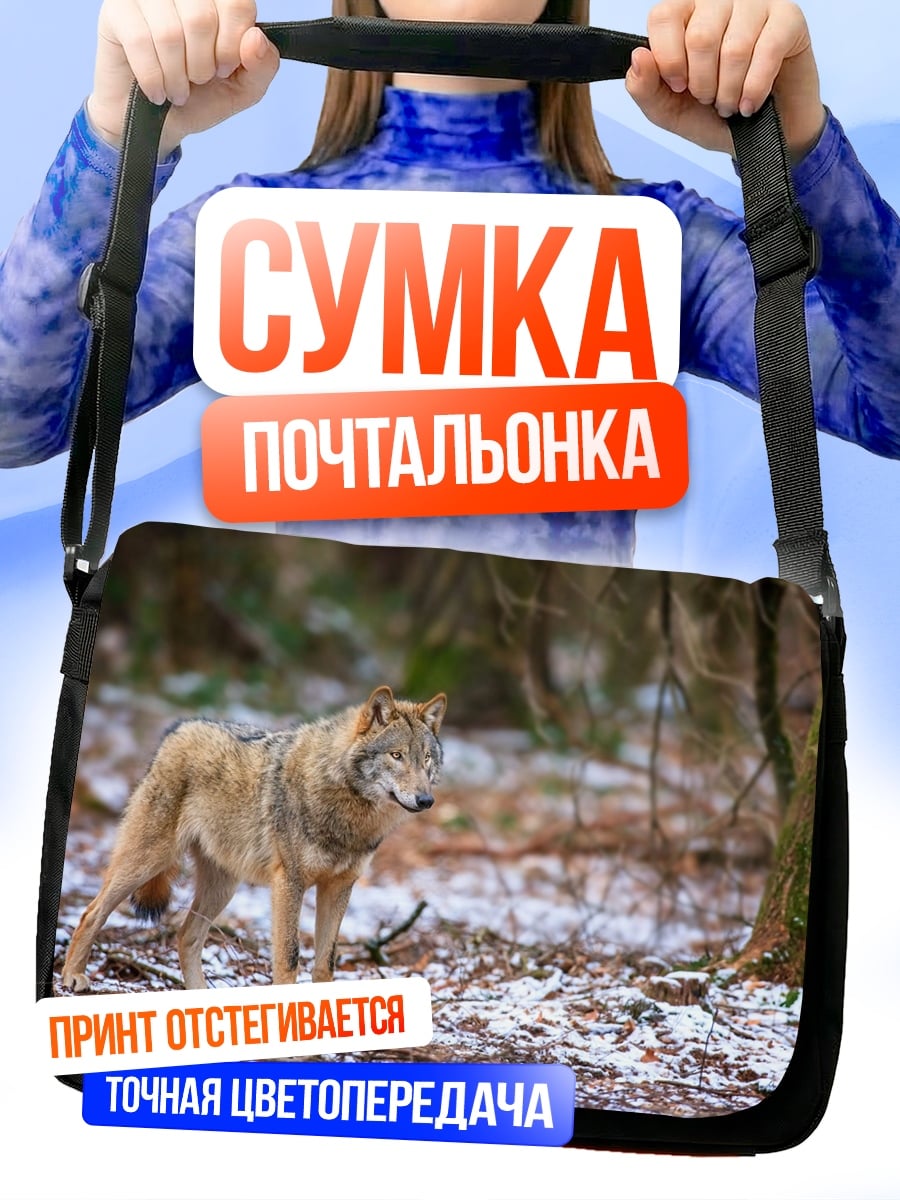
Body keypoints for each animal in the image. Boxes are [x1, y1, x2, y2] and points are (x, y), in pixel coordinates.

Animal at [62, 686, 447, 992]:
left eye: (426, 758)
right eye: (396, 756)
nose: (426, 800)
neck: (347, 807)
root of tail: (179, 727)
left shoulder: (339, 886)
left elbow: (326, 963)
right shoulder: (289, 883)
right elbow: (289, 957)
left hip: (222, 887)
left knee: (186, 936)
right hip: (149, 861)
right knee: (92, 912)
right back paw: (72, 976)